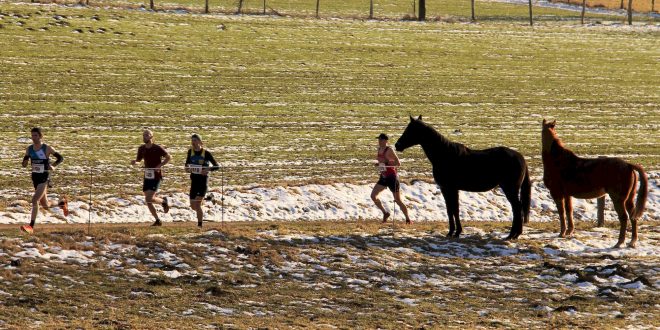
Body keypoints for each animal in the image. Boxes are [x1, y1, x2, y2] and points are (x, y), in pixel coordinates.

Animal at [398, 116, 532, 240]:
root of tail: (520, 157)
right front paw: (453, 232)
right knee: (516, 208)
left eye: (410, 129)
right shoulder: (449, 189)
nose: (397, 145)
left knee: (517, 208)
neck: (444, 155)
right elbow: (451, 209)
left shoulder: (449, 188)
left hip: (510, 189)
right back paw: (514, 234)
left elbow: (453, 209)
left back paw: (512, 235)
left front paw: (455, 232)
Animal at [544, 119, 648, 248]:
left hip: (619, 199)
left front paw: (562, 233)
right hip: (629, 199)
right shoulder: (567, 195)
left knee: (624, 218)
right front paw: (569, 231)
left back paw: (619, 242)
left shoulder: (556, 194)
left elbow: (561, 212)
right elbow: (569, 211)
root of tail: (628, 165)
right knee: (633, 217)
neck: (557, 161)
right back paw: (632, 242)